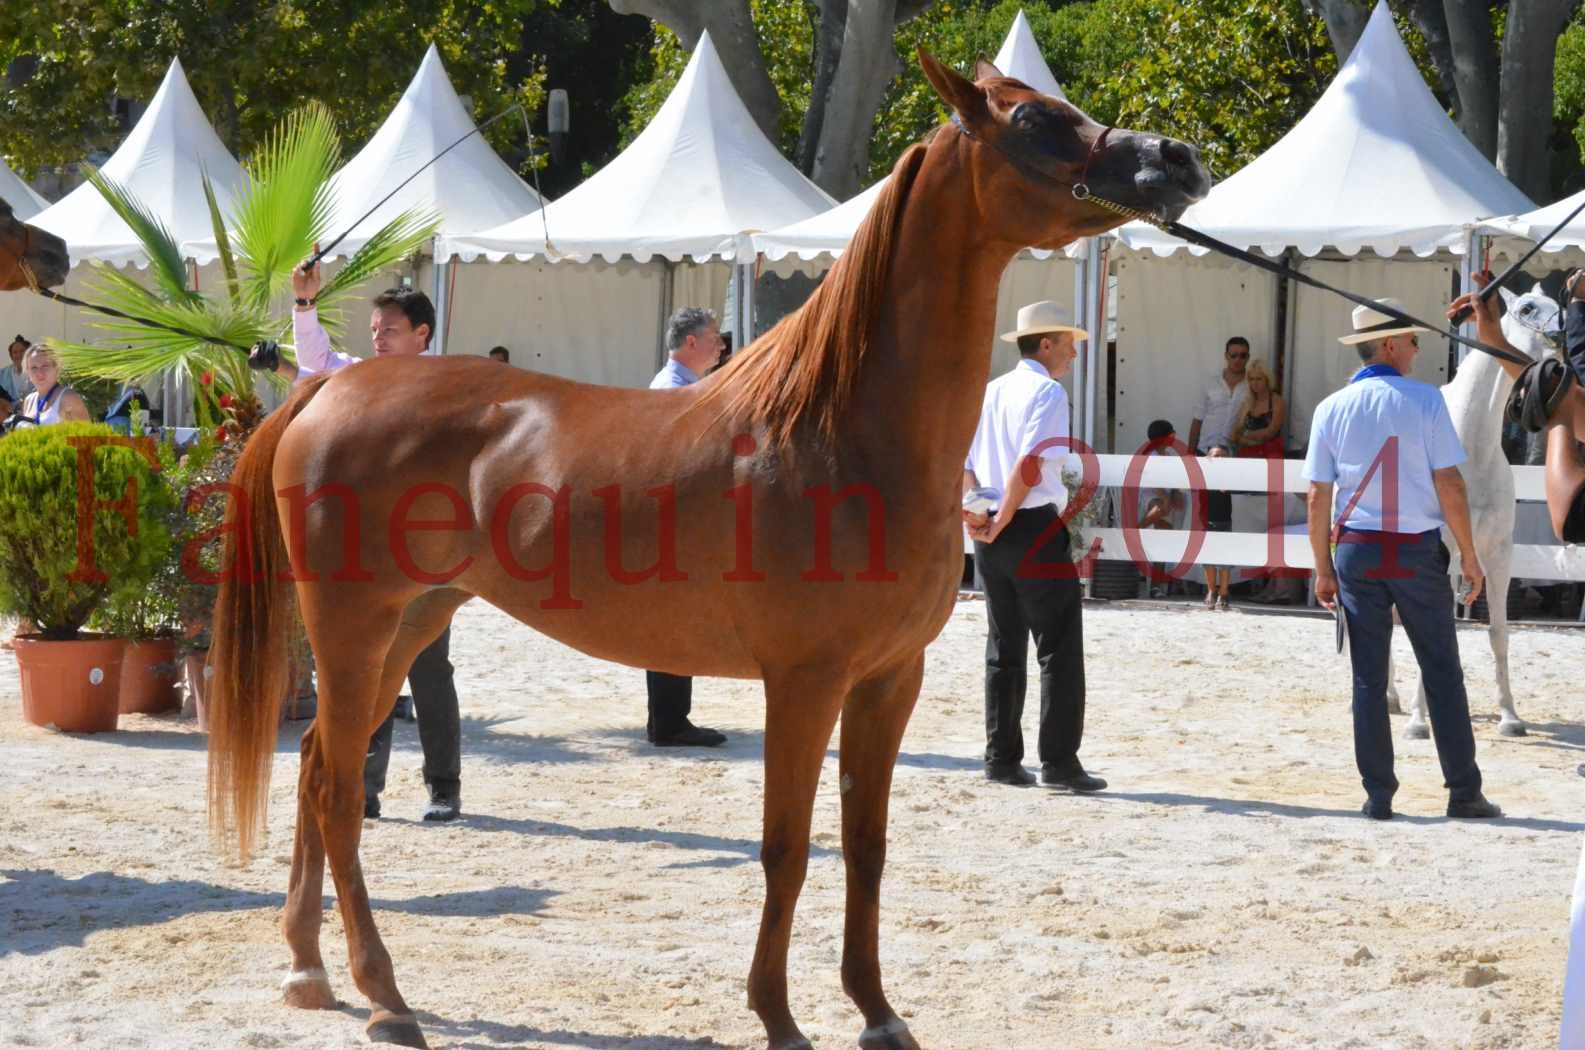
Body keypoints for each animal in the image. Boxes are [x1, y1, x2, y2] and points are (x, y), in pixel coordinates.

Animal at [204, 55, 1204, 1050]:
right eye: (1032, 120)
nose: (1177, 158)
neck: (841, 432)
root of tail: (330, 390)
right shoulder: (804, 682)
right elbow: (786, 847)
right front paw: (779, 1017)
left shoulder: (889, 680)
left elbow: (866, 846)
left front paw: (878, 1013)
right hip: (354, 629)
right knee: (339, 792)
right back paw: (386, 998)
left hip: (411, 623)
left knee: (316, 768)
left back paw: (307, 971)